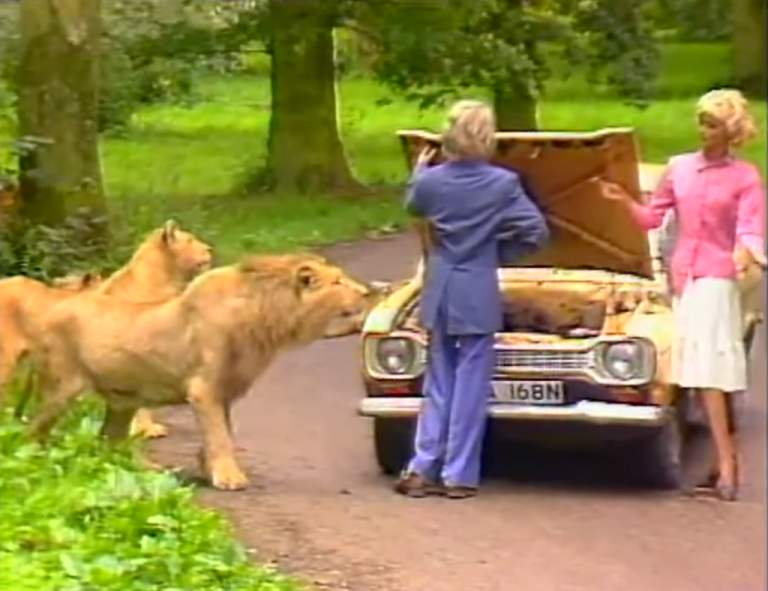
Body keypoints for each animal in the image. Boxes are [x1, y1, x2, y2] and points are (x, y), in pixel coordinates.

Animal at [28, 253, 376, 490]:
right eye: (337, 283)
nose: (366, 292)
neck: (265, 320)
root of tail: (51, 309)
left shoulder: (227, 391)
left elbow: (223, 432)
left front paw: (209, 469)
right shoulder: (204, 389)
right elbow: (219, 435)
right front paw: (229, 477)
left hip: (122, 402)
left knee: (107, 441)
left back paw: (142, 470)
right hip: (62, 388)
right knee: (34, 429)